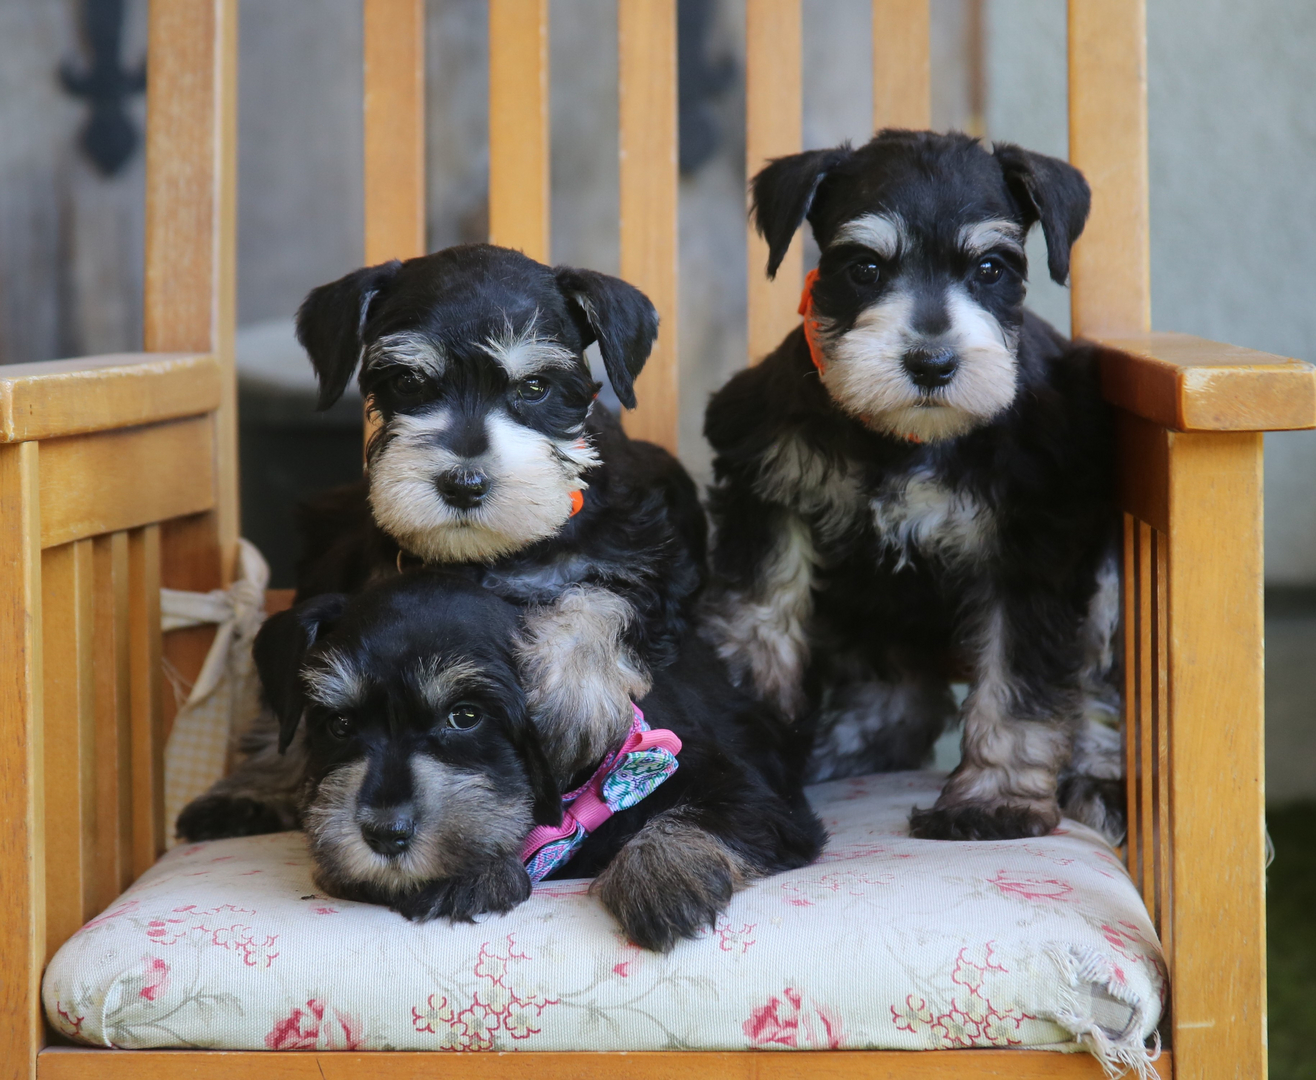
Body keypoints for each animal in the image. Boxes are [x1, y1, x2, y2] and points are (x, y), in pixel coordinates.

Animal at [182, 245, 710, 841]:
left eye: (534, 387)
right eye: (409, 382)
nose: (463, 484)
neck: (496, 553)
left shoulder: (650, 567)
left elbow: (598, 600)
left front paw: (571, 703)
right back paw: (249, 789)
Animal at [252, 573, 821, 952]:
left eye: (466, 716)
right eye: (339, 725)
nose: (384, 835)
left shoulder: (754, 798)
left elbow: (696, 815)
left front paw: (662, 877)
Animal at [700, 130, 1121, 841]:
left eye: (991, 269)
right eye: (864, 269)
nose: (931, 364)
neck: (904, 440)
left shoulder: (1029, 552)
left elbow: (1018, 682)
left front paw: (994, 802)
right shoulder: (770, 500)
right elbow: (760, 633)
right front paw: (754, 748)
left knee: (1098, 688)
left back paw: (1097, 781)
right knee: (903, 699)